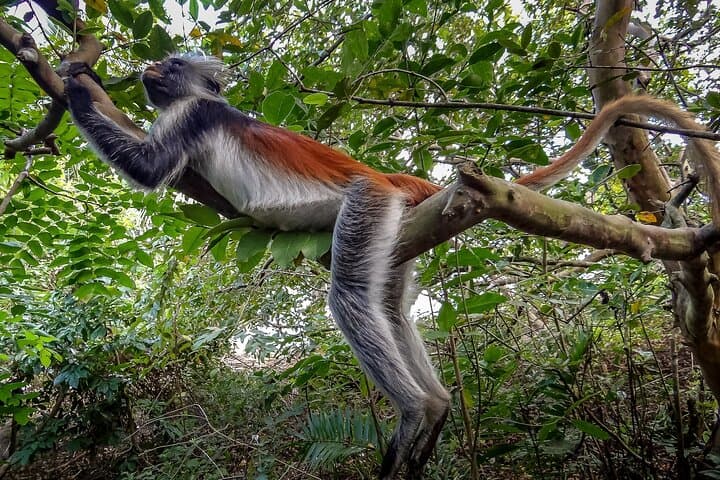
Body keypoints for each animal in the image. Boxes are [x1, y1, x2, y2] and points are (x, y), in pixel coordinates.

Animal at [63, 53, 720, 479]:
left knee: (353, 295)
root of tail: (386, 175)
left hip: (368, 203)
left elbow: (149, 168)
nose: (150, 71)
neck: (204, 102)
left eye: (171, 65)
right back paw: (438, 409)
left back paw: (418, 410)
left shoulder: (192, 115)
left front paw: (77, 81)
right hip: (396, 227)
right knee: (388, 305)